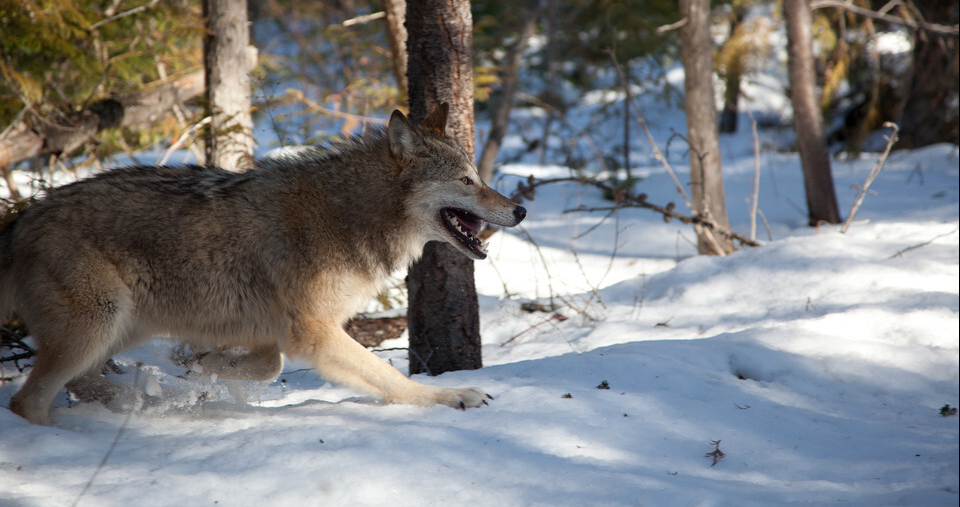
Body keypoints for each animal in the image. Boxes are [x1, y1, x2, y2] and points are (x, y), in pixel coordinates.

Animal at [1, 103, 524, 424]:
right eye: (466, 180)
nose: (519, 210)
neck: (351, 213)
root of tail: (20, 222)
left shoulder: (275, 331)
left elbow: (267, 366)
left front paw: (199, 368)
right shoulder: (313, 331)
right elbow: (389, 376)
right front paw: (450, 397)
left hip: (123, 325)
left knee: (79, 384)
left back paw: (139, 402)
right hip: (99, 324)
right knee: (26, 400)